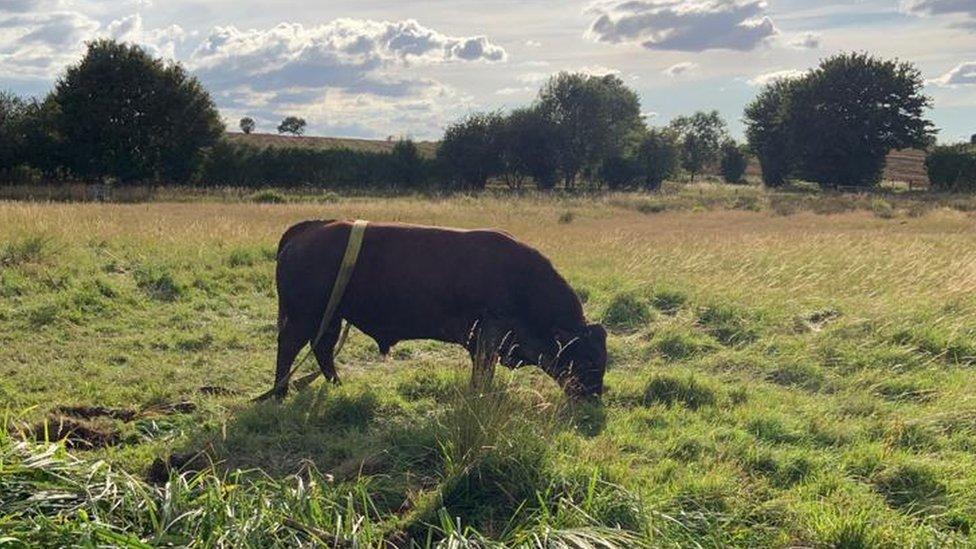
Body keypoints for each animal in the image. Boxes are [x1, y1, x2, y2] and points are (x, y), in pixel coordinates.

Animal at [264, 218, 608, 398]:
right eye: (588, 357)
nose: (594, 395)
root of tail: (310, 229)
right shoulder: (488, 336)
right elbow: (483, 372)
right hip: (304, 317)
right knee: (289, 346)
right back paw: (281, 393)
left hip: (331, 317)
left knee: (322, 348)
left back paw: (337, 386)